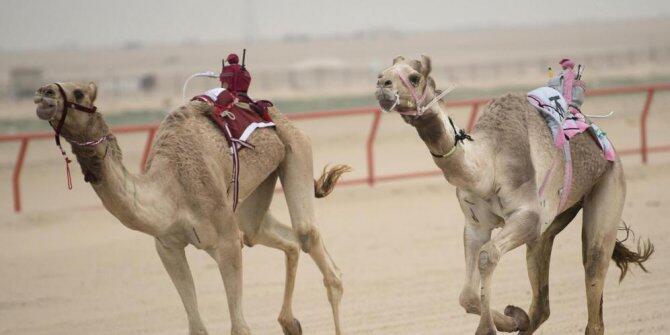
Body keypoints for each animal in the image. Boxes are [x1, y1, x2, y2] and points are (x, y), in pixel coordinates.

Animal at [33, 82, 350, 335]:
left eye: (78, 92)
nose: (43, 93)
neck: (170, 189)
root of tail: (276, 113)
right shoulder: (168, 246)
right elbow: (196, 326)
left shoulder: (225, 240)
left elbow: (239, 327)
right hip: (253, 191)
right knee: (272, 236)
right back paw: (290, 322)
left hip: (296, 146)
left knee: (310, 240)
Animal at [376, 56, 652, 334]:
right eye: (383, 73)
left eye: (414, 78)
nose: (382, 86)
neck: (489, 165)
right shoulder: (476, 225)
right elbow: (467, 295)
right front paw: (513, 318)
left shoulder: (528, 217)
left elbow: (487, 256)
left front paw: (490, 327)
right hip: (554, 221)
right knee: (541, 305)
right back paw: (525, 318)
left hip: (609, 185)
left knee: (594, 271)